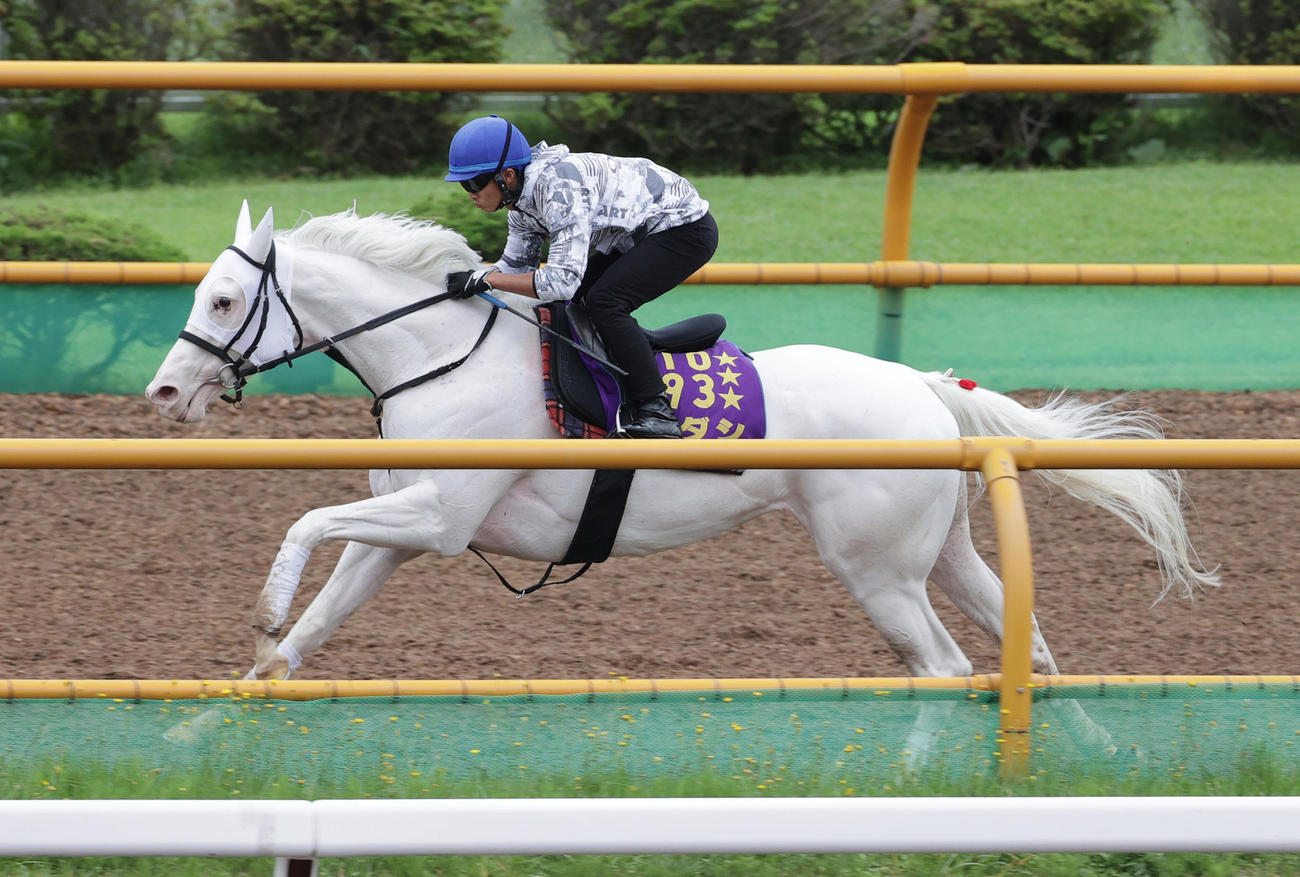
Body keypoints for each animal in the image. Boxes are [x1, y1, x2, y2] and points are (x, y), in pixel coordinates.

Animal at [145, 201, 1220, 683]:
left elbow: (305, 518)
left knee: (947, 667)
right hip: (939, 546)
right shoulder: (408, 527)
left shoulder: (440, 515)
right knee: (1022, 635)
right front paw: (251, 678)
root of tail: (921, 386)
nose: (164, 390)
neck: (440, 354)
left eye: (225, 300)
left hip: (877, 569)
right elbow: (321, 615)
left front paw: (262, 610)